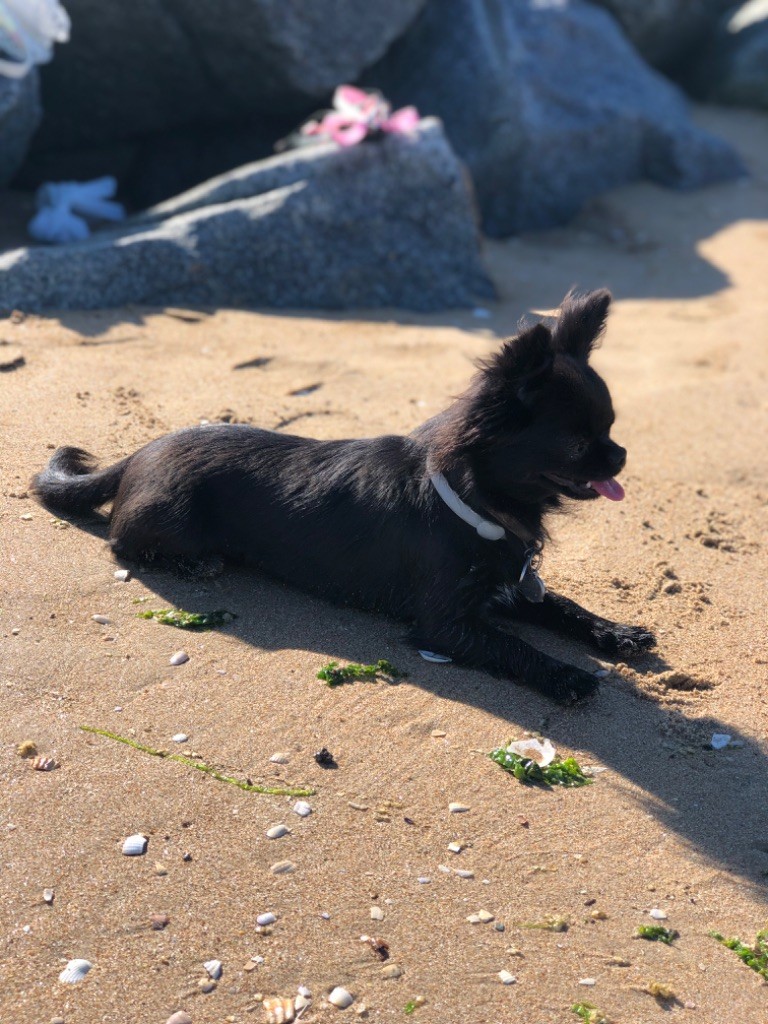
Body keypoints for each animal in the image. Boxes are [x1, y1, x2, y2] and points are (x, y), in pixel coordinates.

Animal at [31, 288, 655, 704]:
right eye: (579, 443)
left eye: (611, 428)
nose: (623, 455)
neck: (474, 503)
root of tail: (140, 451)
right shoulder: (448, 624)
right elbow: (515, 646)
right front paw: (565, 674)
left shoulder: (510, 586)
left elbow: (563, 605)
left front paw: (616, 631)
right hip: (171, 519)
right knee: (122, 542)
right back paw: (194, 563)